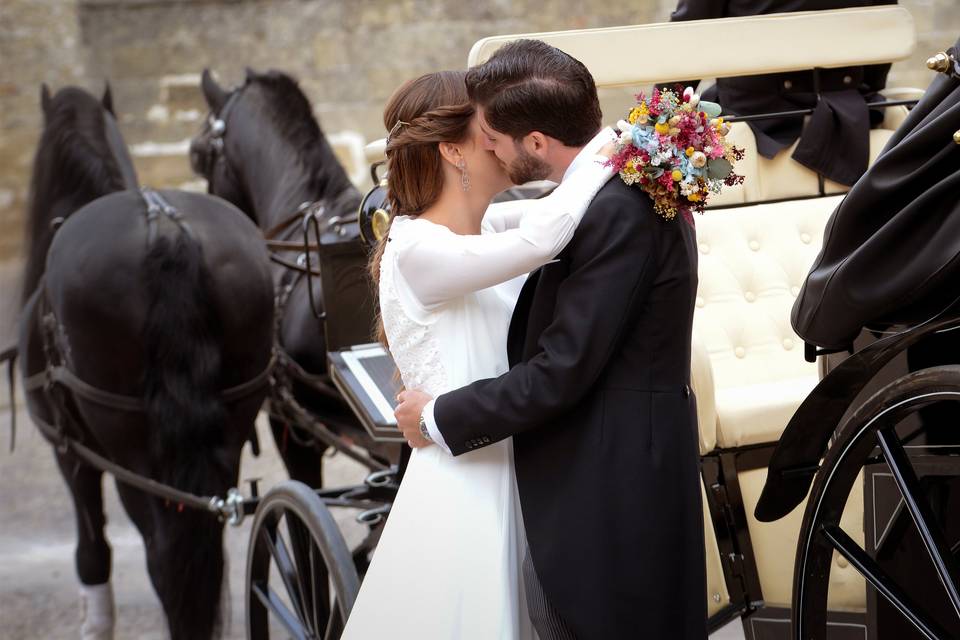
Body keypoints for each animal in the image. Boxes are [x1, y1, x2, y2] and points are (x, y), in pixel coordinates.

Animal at [19, 86, 274, 640]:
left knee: (164, 557)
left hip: (129, 450)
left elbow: (92, 554)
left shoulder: (71, 453)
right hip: (230, 421)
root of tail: (165, 229)